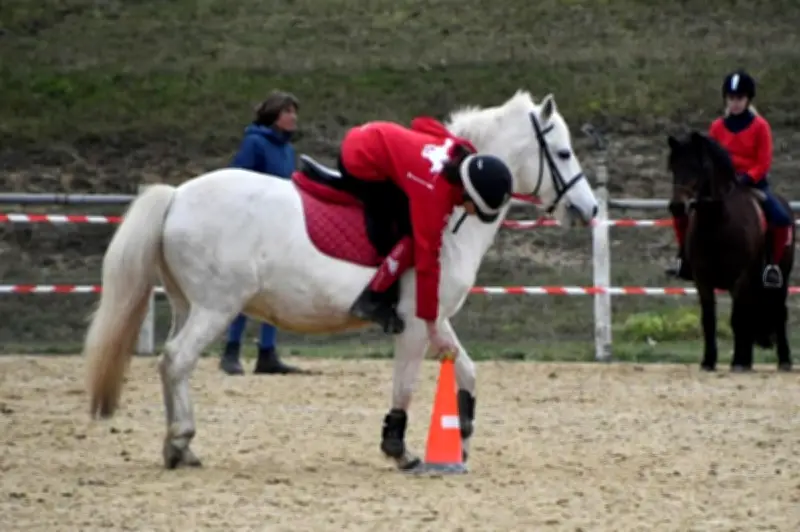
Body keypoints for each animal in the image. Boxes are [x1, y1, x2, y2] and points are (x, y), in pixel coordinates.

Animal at [84, 90, 599, 472]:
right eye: (563, 152)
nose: (590, 209)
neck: (453, 190)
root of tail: (176, 195)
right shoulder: (416, 322)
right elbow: (405, 383)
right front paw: (399, 449)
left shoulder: (435, 318)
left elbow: (468, 370)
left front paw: (464, 433)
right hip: (216, 308)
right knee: (176, 359)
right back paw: (180, 441)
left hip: (187, 305)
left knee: (172, 363)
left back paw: (180, 444)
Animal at [667, 131, 794, 372]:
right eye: (673, 168)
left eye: (698, 167)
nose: (677, 207)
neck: (718, 223)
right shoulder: (703, 280)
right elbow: (709, 319)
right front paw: (709, 361)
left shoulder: (741, 278)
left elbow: (737, 318)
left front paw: (737, 362)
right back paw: (748, 359)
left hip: (780, 278)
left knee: (779, 312)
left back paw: (783, 360)